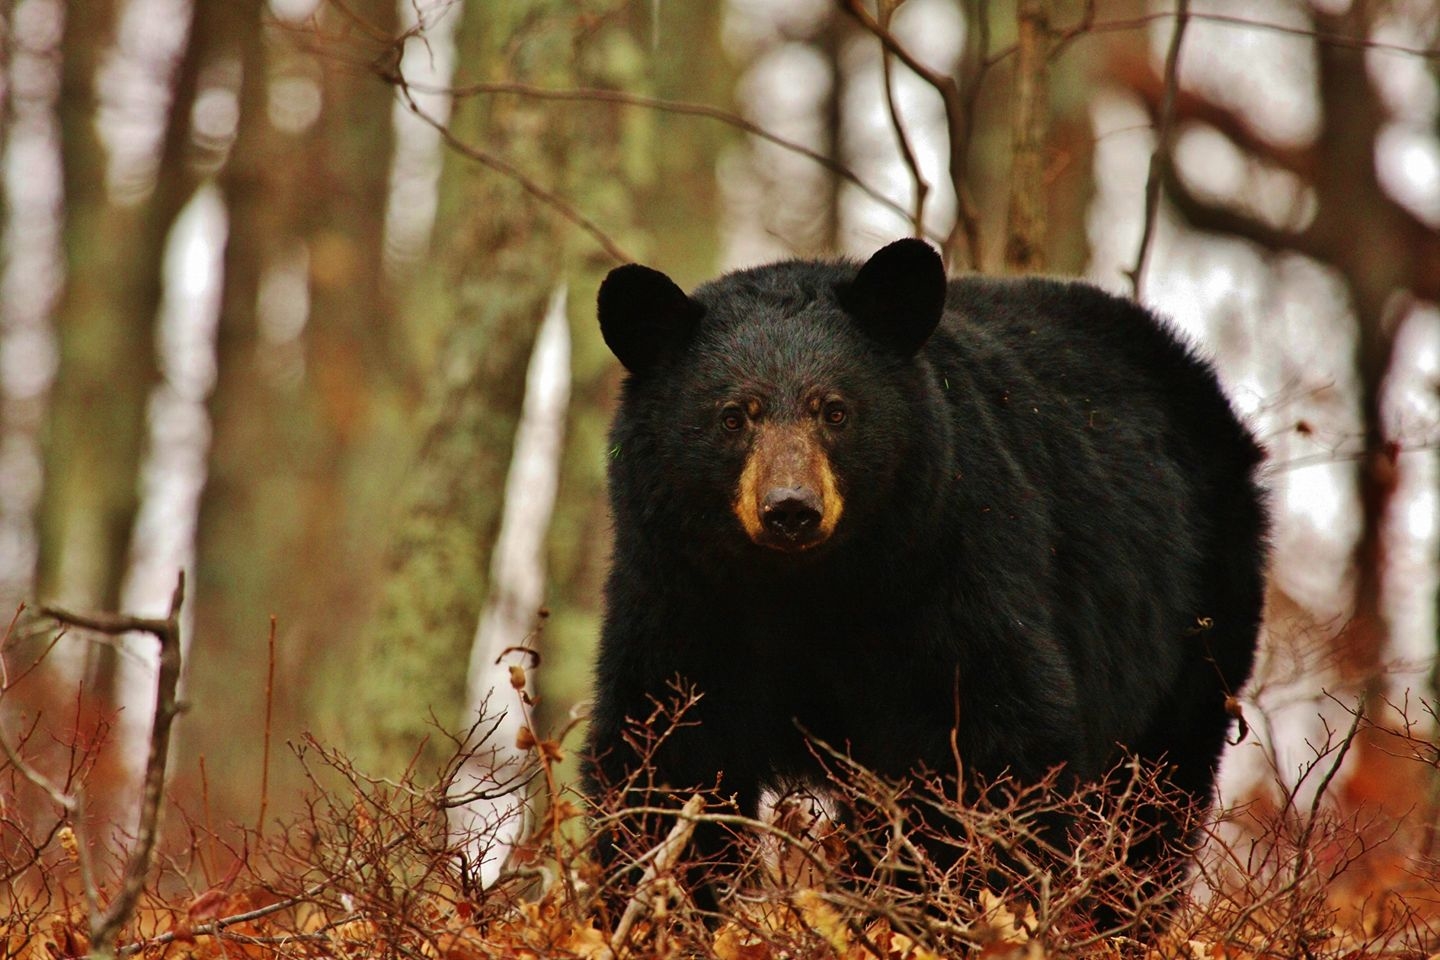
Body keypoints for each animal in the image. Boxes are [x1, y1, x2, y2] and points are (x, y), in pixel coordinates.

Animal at [578, 238, 1267, 909]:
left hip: (1197, 617)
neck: (804, 588)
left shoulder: (949, 565)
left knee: (1152, 804)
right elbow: (665, 754)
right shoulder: (680, 590)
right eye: (732, 416)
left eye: (835, 411)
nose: (791, 509)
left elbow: (987, 747)